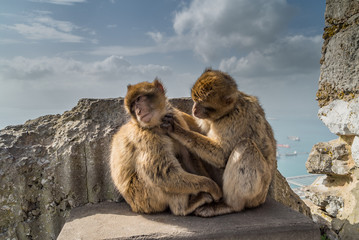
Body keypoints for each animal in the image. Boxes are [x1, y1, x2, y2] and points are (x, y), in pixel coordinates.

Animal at [109, 78, 222, 216]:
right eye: (132, 106)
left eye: (139, 99)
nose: (138, 111)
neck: (157, 125)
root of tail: (133, 206)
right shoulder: (145, 137)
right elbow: (163, 175)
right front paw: (212, 186)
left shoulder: (176, 118)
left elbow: (187, 156)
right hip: (143, 198)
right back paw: (184, 208)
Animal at [162, 69, 278, 218]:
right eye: (194, 101)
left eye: (202, 103)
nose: (194, 109)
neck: (228, 110)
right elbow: (199, 128)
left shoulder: (236, 118)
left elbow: (221, 154)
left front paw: (177, 129)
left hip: (258, 193)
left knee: (246, 147)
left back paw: (230, 205)